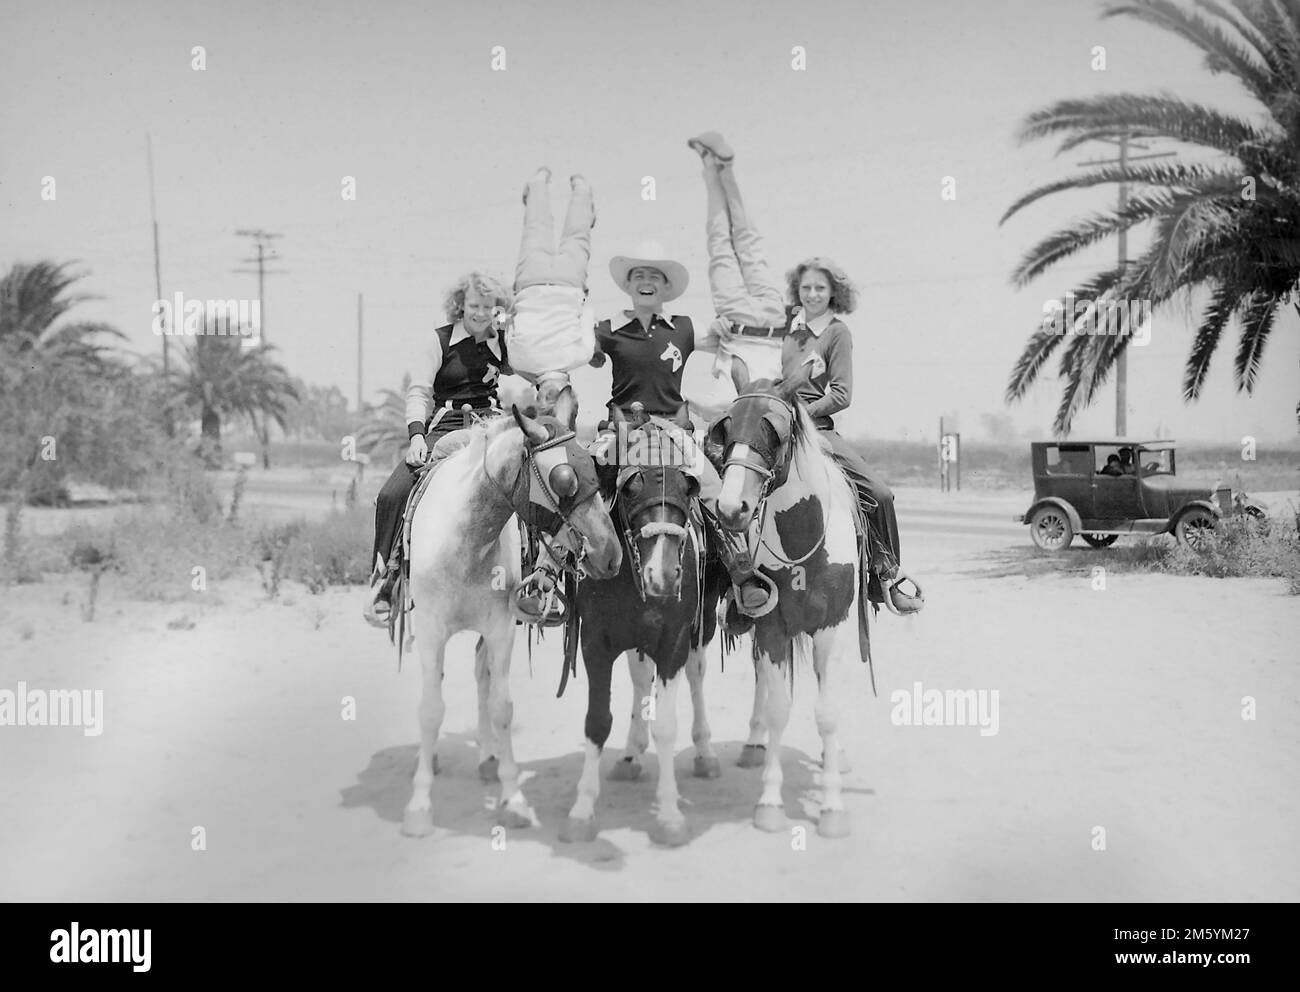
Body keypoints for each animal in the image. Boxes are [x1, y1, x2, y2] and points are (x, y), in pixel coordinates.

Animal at [397, 387, 621, 837]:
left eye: (594, 468)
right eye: (564, 480)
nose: (610, 554)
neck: (465, 539)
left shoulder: (501, 629)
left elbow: (501, 708)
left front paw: (513, 799)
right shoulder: (430, 631)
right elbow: (430, 711)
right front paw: (419, 807)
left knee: (481, 676)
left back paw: (488, 757)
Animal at [561, 403, 733, 847]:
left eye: (689, 486)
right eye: (632, 486)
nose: (663, 574)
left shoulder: (673, 640)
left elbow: (668, 727)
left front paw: (670, 815)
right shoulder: (596, 643)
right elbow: (597, 722)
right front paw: (581, 810)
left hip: (701, 627)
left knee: (696, 673)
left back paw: (705, 754)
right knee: (641, 678)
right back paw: (629, 754)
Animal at [702, 371, 873, 837]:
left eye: (772, 430)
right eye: (726, 429)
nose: (731, 508)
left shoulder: (832, 629)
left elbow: (827, 714)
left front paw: (832, 808)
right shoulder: (772, 626)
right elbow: (778, 707)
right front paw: (770, 803)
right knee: (762, 681)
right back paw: (753, 744)